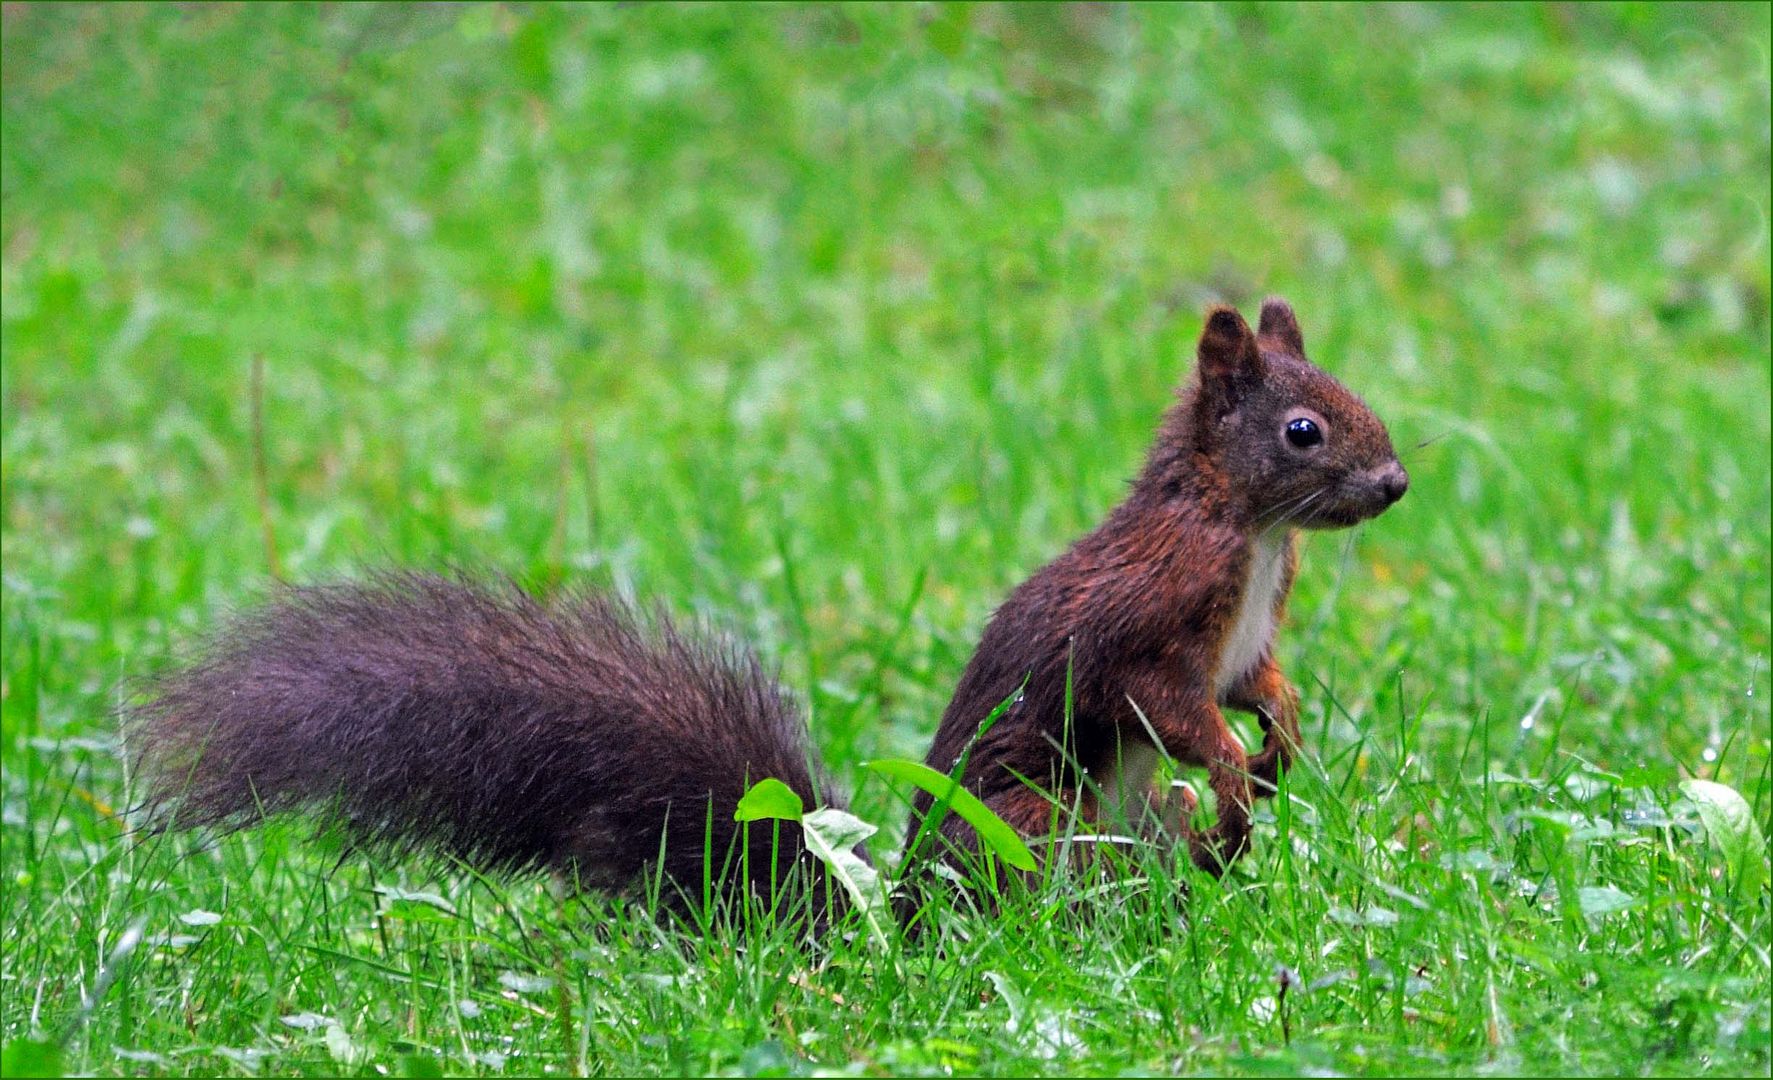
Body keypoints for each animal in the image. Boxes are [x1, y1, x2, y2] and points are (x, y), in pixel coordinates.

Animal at [131, 299, 1404, 915]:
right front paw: (1238, 771)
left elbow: (1257, 684)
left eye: (1358, 398)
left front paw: (1283, 740)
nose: (1394, 483)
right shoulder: (1152, 620)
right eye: (1304, 430)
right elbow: (1171, 705)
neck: (1253, 532)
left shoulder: (1244, 638)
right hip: (1038, 820)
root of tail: (903, 927)